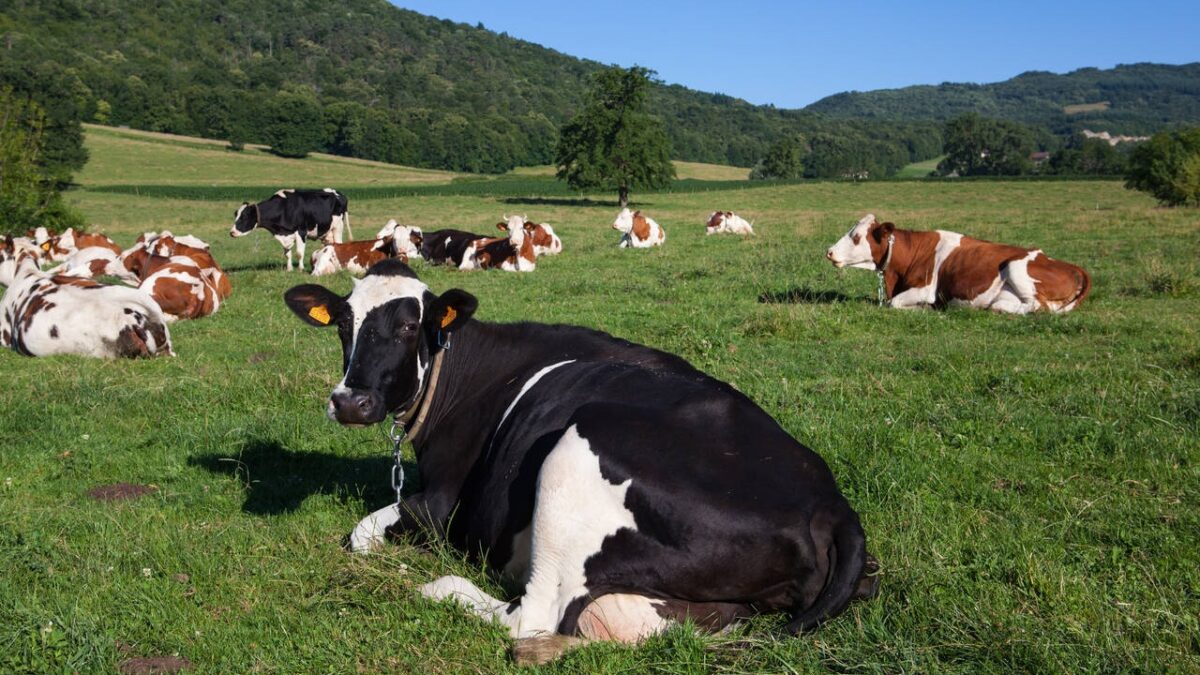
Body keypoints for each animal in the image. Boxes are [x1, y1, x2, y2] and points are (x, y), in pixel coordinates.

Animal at [282, 259, 874, 654]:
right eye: (343, 325)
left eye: (409, 326)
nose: (350, 402)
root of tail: (831, 504)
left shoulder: (443, 504)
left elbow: (361, 534)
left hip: (577, 449)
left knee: (532, 615)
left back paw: (437, 585)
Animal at [826, 214, 1092, 314]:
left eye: (856, 237)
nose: (829, 252)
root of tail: (1073, 267)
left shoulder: (925, 288)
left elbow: (895, 303)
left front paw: (923, 308)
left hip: (1015, 266)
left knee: (1038, 306)